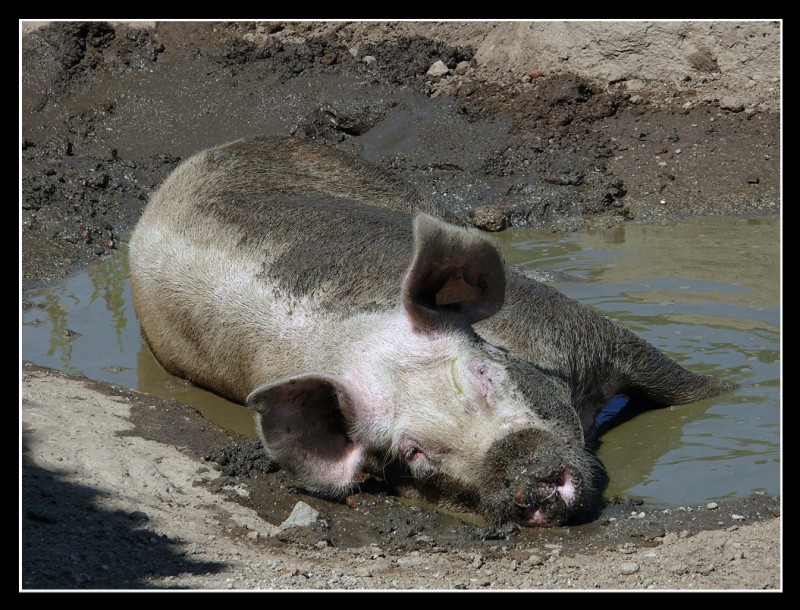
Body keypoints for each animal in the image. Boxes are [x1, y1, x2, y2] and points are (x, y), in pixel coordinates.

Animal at [128, 135, 736, 524]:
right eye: (414, 451)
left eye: (485, 373)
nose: (524, 469)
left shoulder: (580, 330)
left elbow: (680, 382)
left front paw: (735, 392)